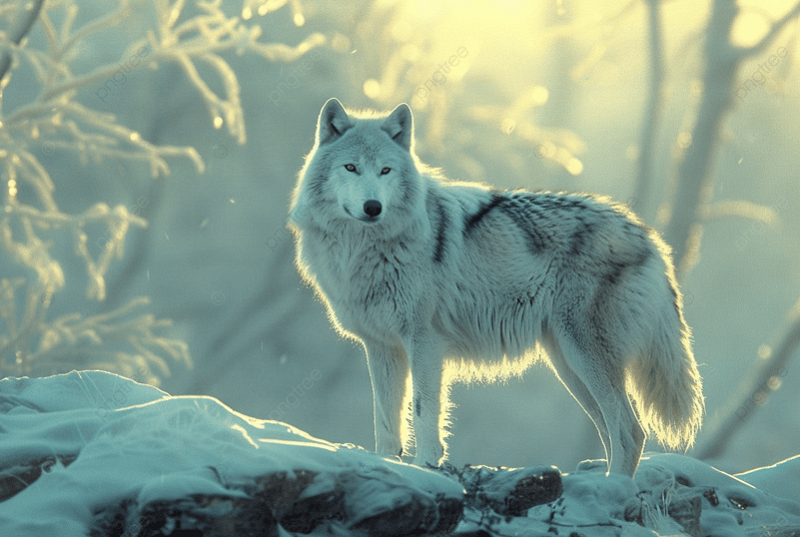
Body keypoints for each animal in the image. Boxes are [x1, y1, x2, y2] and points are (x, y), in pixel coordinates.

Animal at [288, 98, 704, 477]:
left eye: (386, 170)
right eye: (351, 168)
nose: (373, 207)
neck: (363, 250)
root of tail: (648, 235)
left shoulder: (425, 342)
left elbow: (423, 412)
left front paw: (425, 467)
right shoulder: (381, 347)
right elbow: (386, 424)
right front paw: (389, 467)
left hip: (585, 357)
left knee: (631, 431)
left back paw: (612, 490)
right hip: (569, 365)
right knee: (614, 431)